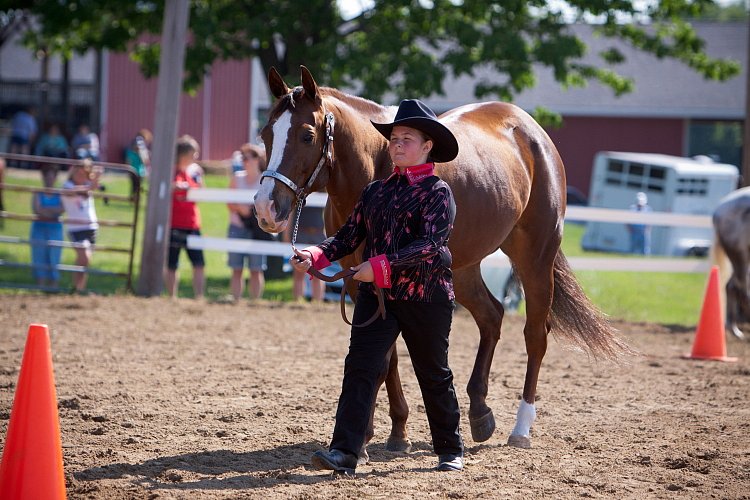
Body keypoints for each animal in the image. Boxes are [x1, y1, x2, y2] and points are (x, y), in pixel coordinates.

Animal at [256, 66, 632, 458]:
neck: (380, 167)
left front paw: (365, 438)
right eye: (266, 133)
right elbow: (385, 355)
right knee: (492, 316)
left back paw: (521, 427)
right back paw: (480, 414)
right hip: (462, 269)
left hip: (535, 257)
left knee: (535, 335)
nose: (266, 209)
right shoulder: (357, 281)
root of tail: (530, 131)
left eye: (307, 134)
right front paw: (394, 432)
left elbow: (383, 357)